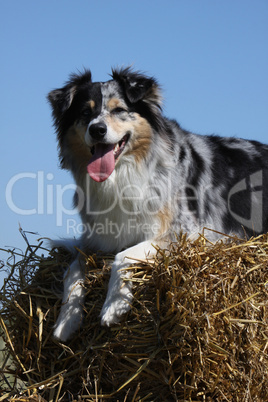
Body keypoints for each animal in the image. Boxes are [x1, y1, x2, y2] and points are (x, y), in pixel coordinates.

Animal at [47, 67, 268, 340]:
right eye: (85, 113)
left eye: (119, 110)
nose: (97, 129)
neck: (124, 174)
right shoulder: (95, 240)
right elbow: (72, 270)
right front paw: (66, 320)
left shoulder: (190, 235)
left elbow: (123, 256)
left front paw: (114, 306)